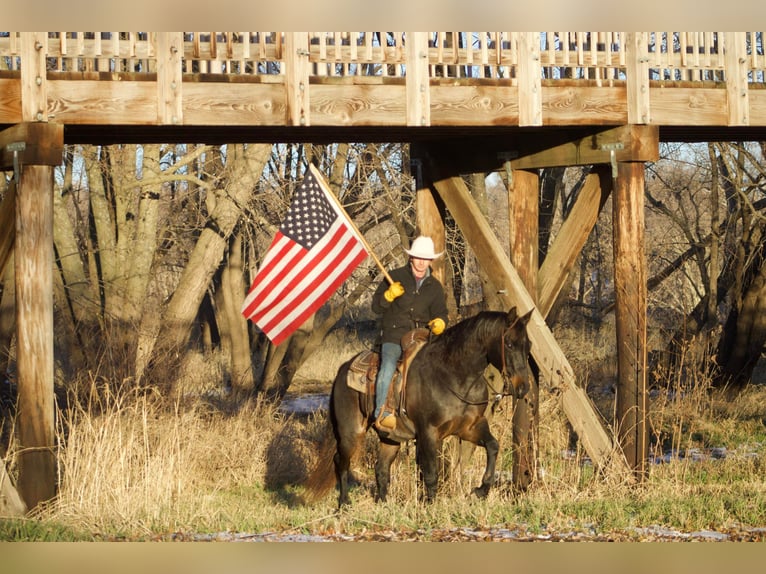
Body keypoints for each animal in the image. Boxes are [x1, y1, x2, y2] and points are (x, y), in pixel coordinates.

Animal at [306, 306, 536, 508]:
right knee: (341, 462)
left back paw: (383, 504)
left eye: (529, 346)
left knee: (381, 468)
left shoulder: (469, 428)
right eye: (509, 344)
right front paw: (430, 504)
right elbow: (431, 472)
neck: (454, 375)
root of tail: (343, 370)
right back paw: (344, 503)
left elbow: (493, 446)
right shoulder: (428, 433)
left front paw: (480, 490)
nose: (523, 387)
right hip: (351, 432)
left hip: (390, 438)